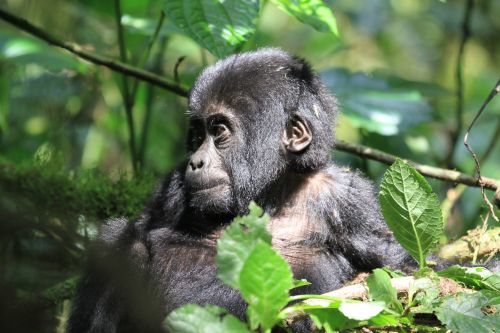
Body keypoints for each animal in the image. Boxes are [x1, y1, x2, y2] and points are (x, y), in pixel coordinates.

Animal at [66, 47, 414, 332]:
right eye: (197, 135)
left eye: (219, 131)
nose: (195, 162)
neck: (269, 196)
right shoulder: (171, 189)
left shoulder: (350, 200)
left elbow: (399, 264)